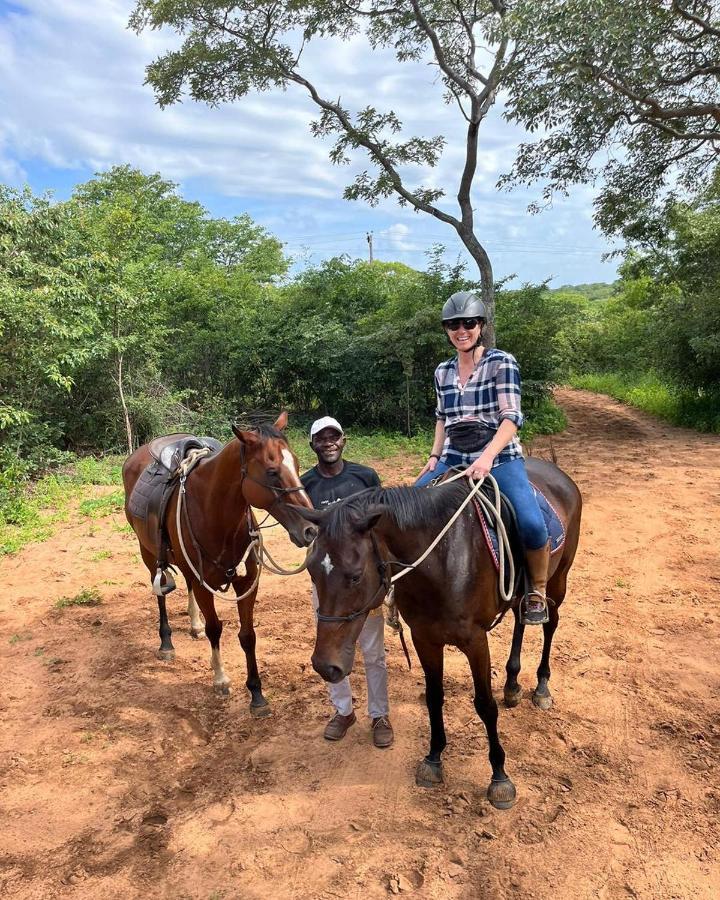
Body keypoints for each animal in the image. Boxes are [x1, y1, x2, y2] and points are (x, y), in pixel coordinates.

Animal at [123, 414, 316, 716]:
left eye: (296, 465)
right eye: (272, 472)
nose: (311, 529)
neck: (214, 512)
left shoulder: (246, 583)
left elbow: (248, 635)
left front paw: (257, 694)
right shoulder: (205, 586)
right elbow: (215, 628)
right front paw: (221, 679)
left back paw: (194, 624)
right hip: (148, 553)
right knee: (160, 594)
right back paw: (166, 642)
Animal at [296, 458, 580, 808]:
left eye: (355, 576)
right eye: (311, 570)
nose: (325, 665)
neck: (442, 559)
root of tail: (555, 471)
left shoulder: (475, 641)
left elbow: (485, 705)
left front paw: (500, 777)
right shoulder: (424, 637)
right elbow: (434, 698)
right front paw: (433, 760)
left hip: (559, 579)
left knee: (549, 623)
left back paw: (541, 687)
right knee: (519, 619)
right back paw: (512, 684)